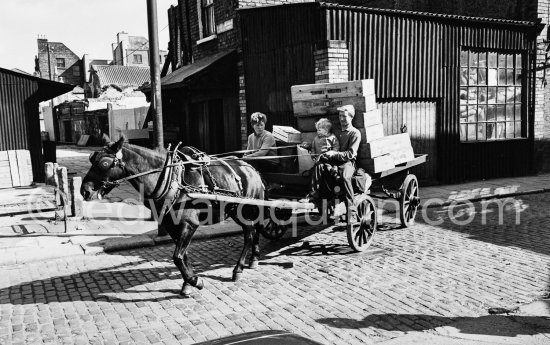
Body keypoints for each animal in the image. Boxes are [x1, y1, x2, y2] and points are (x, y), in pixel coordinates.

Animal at [82, 136, 270, 296]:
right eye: (91, 158)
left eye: (104, 163)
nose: (84, 191)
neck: (170, 180)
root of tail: (251, 168)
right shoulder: (171, 226)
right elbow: (183, 255)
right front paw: (188, 283)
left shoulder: (189, 224)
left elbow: (177, 256)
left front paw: (195, 281)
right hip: (236, 211)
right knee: (253, 230)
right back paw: (252, 260)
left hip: (245, 209)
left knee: (250, 233)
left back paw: (238, 268)